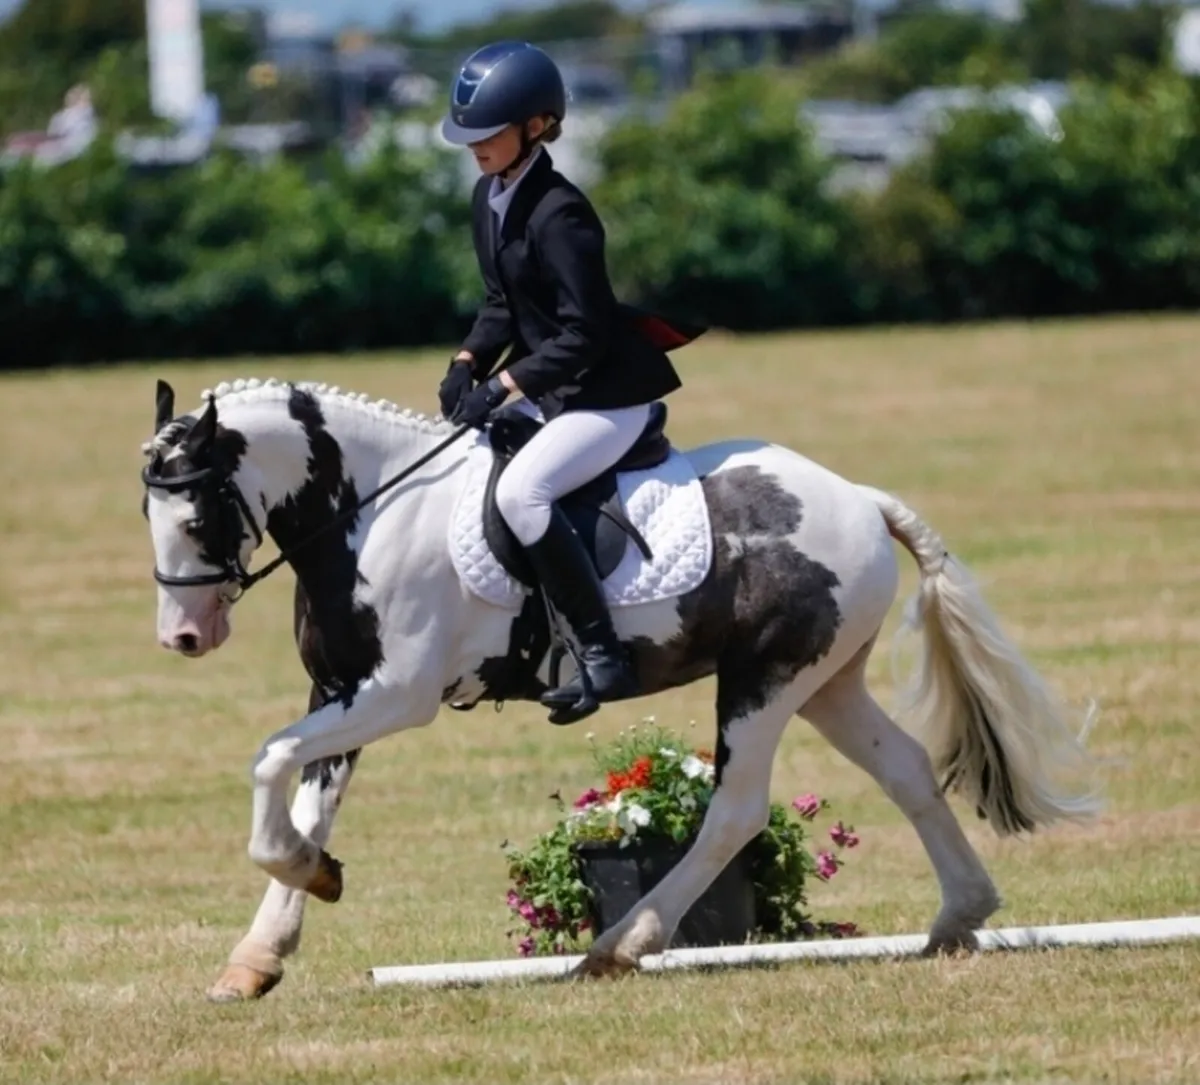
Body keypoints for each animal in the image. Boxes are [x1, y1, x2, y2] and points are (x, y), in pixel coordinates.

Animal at [138, 376, 1101, 1002]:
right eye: (147, 512)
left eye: (197, 513)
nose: (183, 637)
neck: (373, 513)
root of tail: (858, 497)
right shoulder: (338, 689)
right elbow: (304, 799)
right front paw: (262, 950)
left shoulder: (396, 694)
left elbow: (269, 764)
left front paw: (313, 879)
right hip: (827, 681)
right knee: (904, 770)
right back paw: (959, 916)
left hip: (763, 681)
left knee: (736, 811)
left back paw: (621, 943)